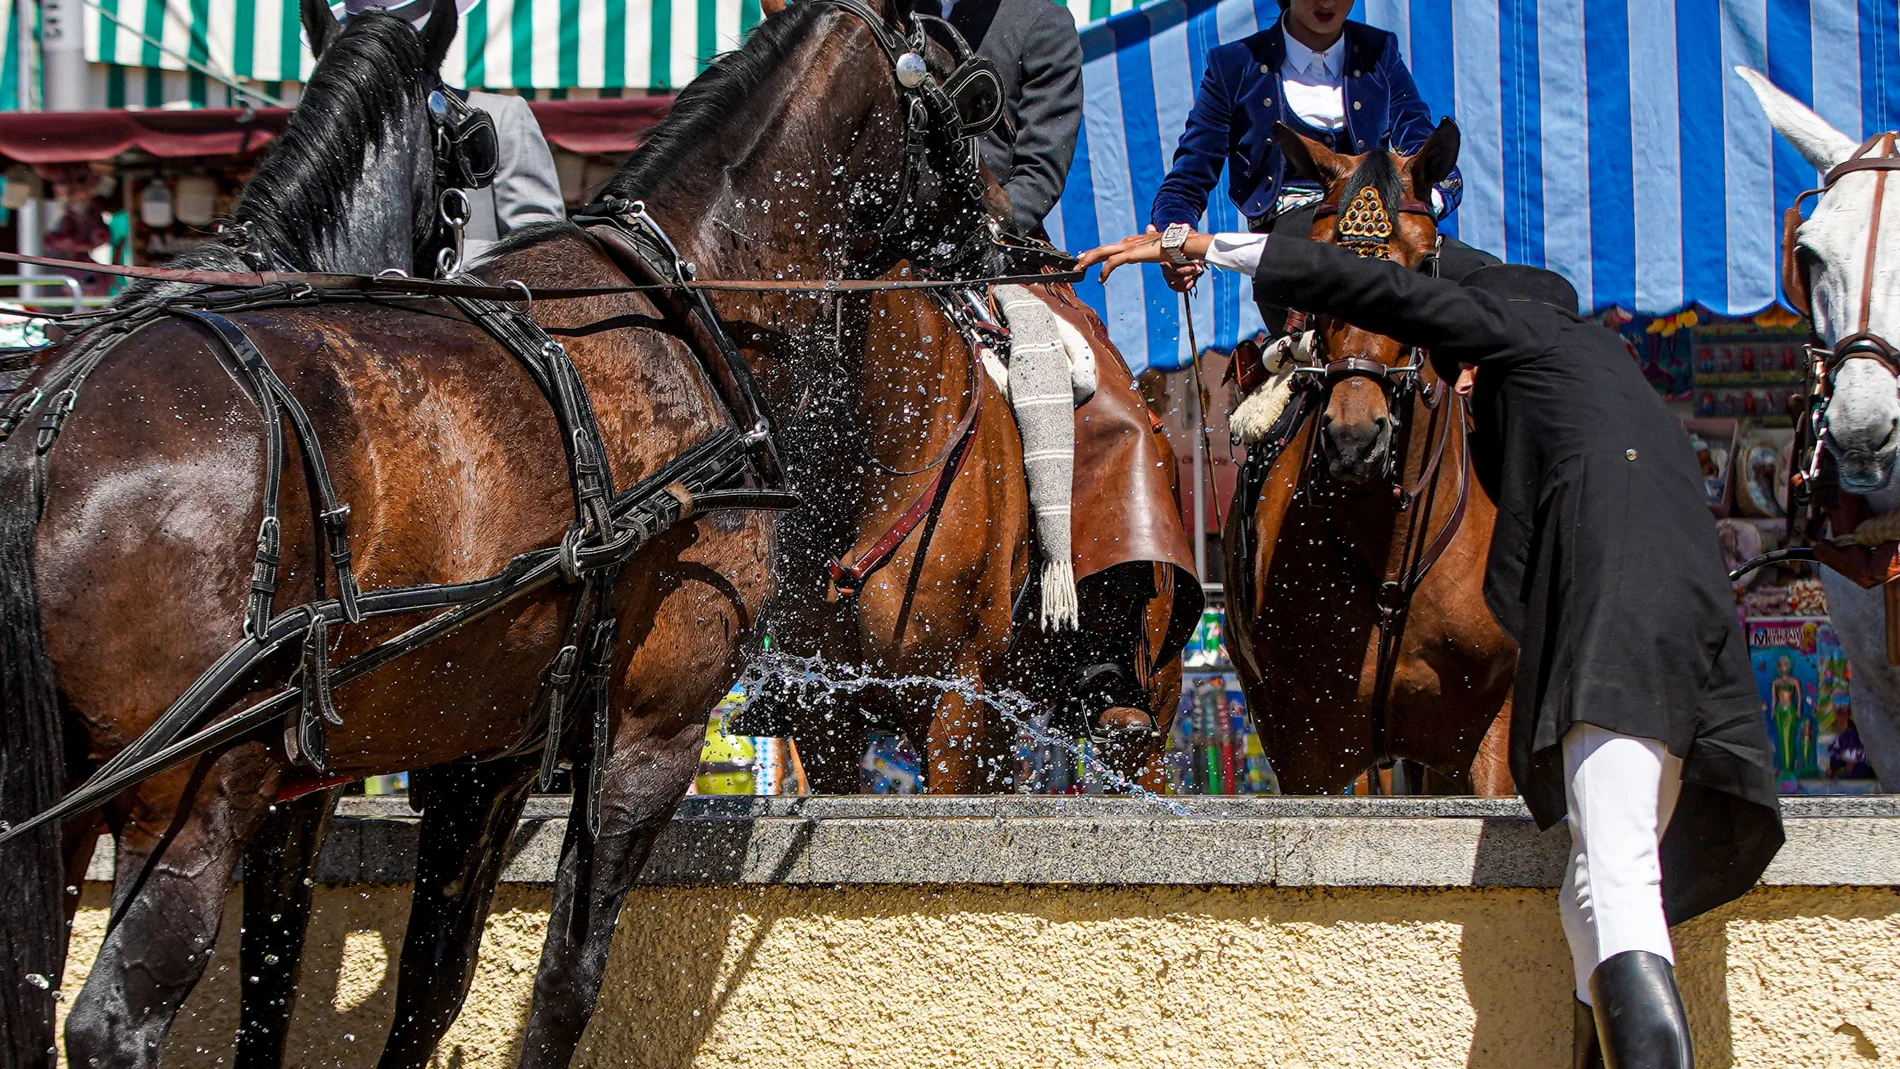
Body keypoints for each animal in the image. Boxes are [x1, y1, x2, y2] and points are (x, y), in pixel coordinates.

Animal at [7, 6, 995, 1069]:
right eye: (970, 90)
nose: (1006, 235)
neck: (683, 297)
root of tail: (48, 409)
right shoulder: (647, 737)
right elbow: (562, 982)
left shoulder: (475, 755)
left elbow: (412, 986)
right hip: (189, 793)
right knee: (114, 1020)